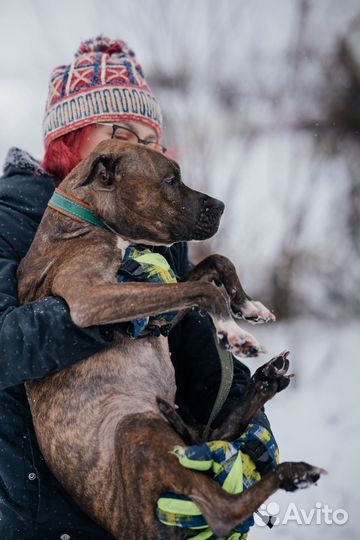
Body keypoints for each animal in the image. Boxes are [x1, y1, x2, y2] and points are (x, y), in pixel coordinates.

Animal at [18, 140, 324, 540]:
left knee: (217, 436)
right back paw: (293, 471)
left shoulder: (158, 307)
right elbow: (204, 291)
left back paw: (265, 383)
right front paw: (234, 331)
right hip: (137, 429)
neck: (88, 219)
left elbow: (214, 264)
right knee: (222, 509)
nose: (221, 206)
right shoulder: (90, 299)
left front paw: (248, 306)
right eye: (171, 180)